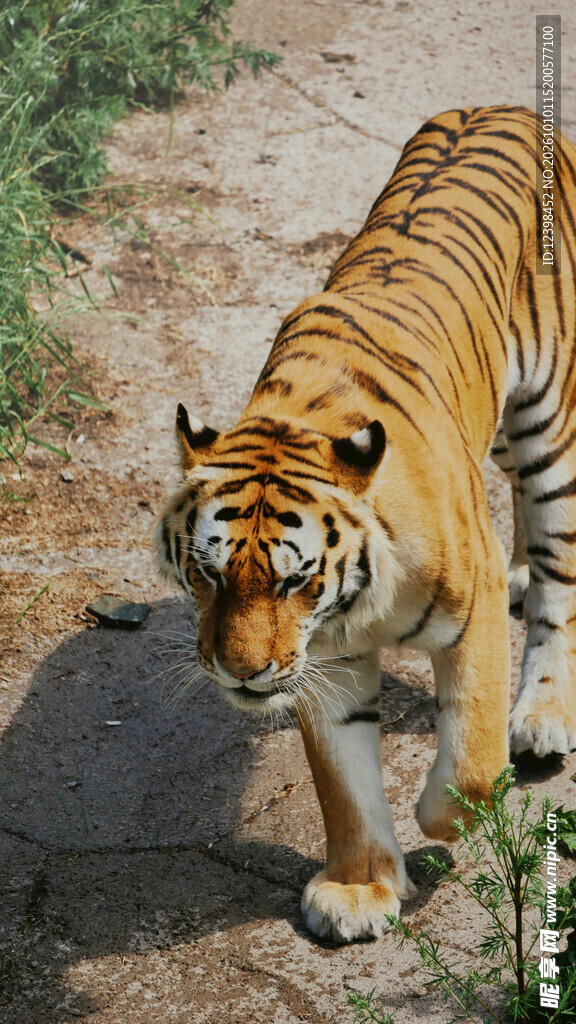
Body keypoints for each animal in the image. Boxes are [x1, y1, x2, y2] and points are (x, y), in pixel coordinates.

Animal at [156, 106, 576, 944]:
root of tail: (506, 107)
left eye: (294, 582)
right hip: (501, 425)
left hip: (550, 419)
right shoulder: (324, 658)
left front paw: (442, 821)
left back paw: (542, 715)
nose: (241, 674)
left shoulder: (467, 616)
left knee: (558, 584)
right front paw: (358, 890)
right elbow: (343, 780)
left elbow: (472, 755)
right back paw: (520, 568)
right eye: (208, 574)